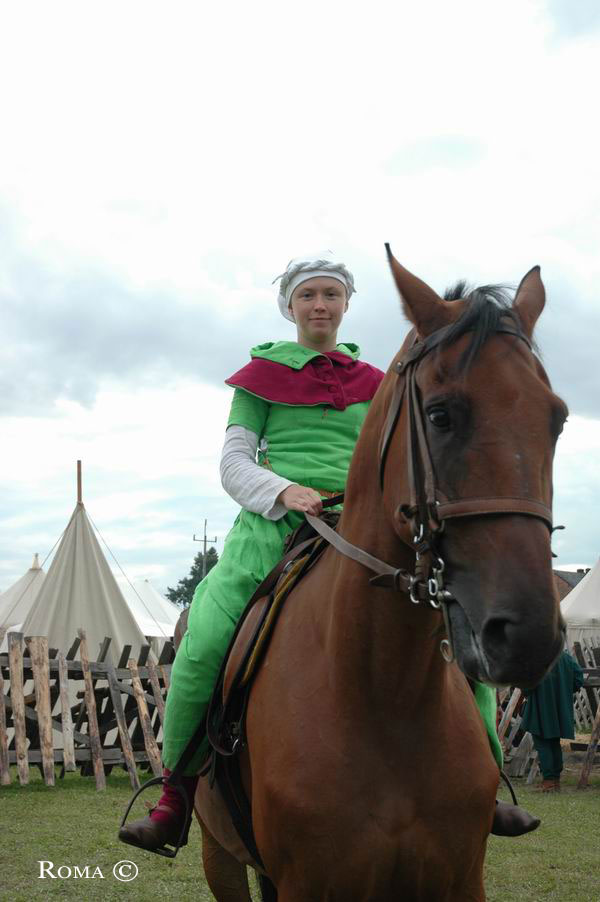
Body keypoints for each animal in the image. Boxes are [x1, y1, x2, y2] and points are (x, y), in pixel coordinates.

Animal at [192, 248, 567, 902]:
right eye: (440, 415)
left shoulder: (459, 879)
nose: (527, 635)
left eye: (560, 420)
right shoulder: (309, 883)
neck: (384, 691)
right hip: (220, 856)